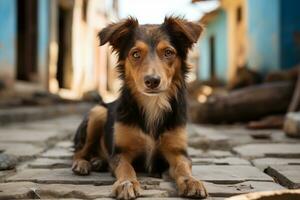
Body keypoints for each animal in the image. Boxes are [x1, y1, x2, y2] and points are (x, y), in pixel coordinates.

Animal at [73, 16, 209, 199]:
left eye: (168, 52)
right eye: (135, 54)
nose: (152, 80)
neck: (153, 103)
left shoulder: (177, 152)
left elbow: (183, 166)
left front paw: (191, 181)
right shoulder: (121, 153)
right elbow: (126, 167)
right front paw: (126, 183)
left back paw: (98, 161)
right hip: (98, 112)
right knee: (79, 151)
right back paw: (82, 163)